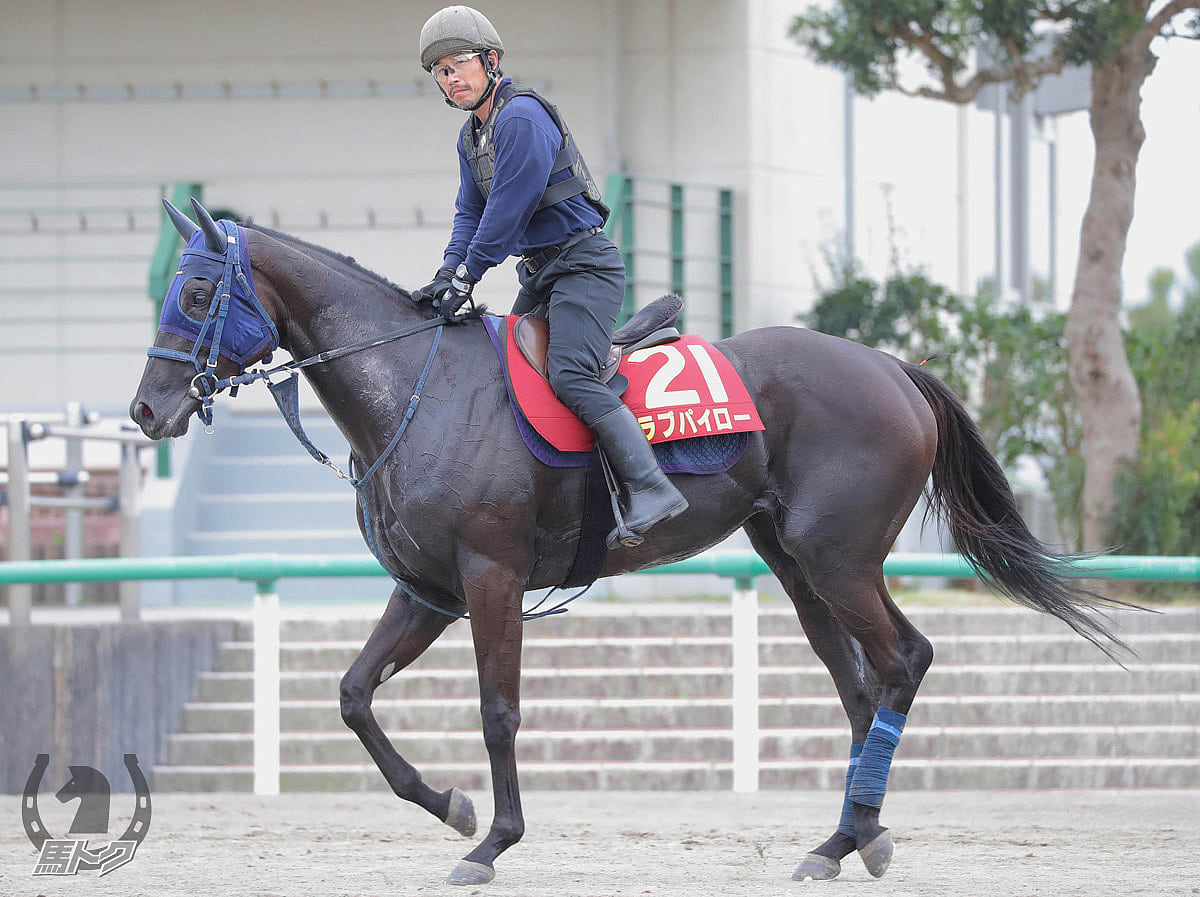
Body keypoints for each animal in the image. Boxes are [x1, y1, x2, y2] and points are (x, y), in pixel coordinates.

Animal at [133, 197, 1132, 892]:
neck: (417, 385)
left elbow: (498, 712)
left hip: (838, 558)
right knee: (862, 684)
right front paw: (451, 805)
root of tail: (890, 366)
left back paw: (857, 828)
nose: (146, 411)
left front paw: (492, 841)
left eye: (195, 291)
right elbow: (352, 696)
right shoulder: (428, 591)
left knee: (904, 660)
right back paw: (849, 835)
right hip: (800, 566)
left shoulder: (490, 579)